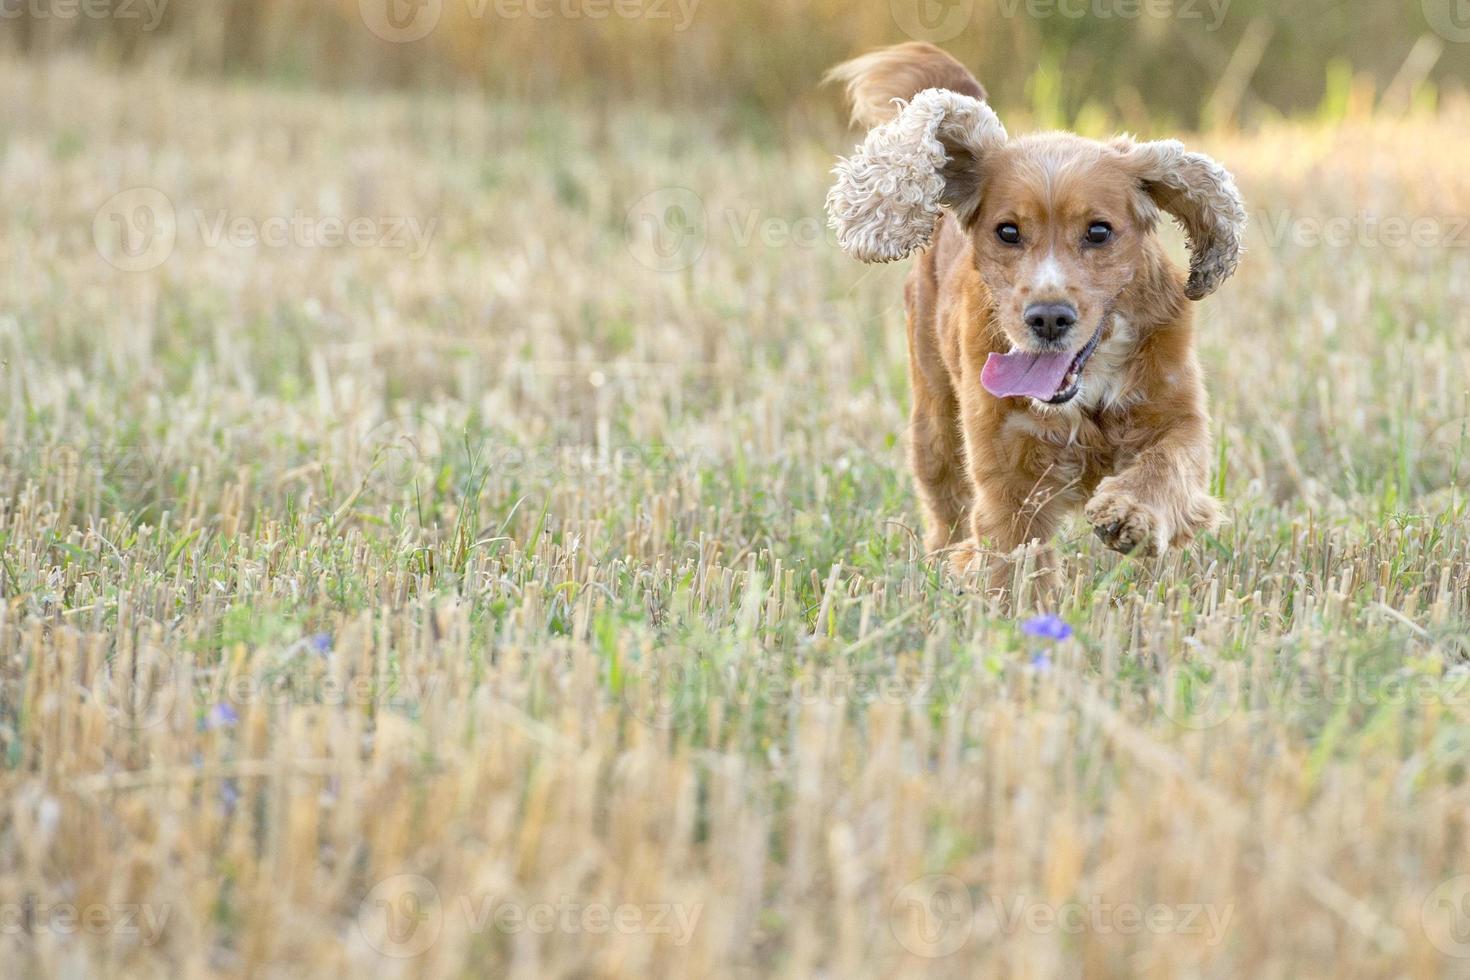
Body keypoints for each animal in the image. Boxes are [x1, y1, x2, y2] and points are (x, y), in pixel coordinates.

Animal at [829, 42, 1240, 590]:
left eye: (1099, 231)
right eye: (1007, 231)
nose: (1047, 318)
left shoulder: (1178, 414)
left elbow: (1168, 465)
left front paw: (1128, 514)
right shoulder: (1008, 472)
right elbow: (1013, 558)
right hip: (933, 420)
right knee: (944, 504)